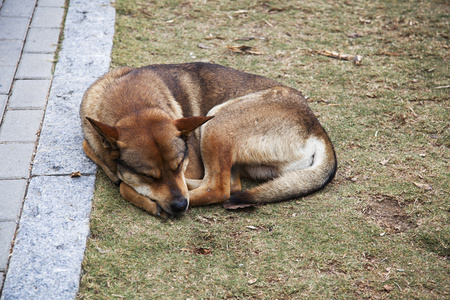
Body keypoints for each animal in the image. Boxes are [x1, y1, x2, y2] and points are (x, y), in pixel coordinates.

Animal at [79, 62, 336, 218]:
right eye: (149, 176)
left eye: (179, 164)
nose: (179, 207)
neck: (134, 105)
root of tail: (316, 127)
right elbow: (92, 149)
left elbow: (123, 184)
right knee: (229, 184)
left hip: (216, 123)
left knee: (219, 188)